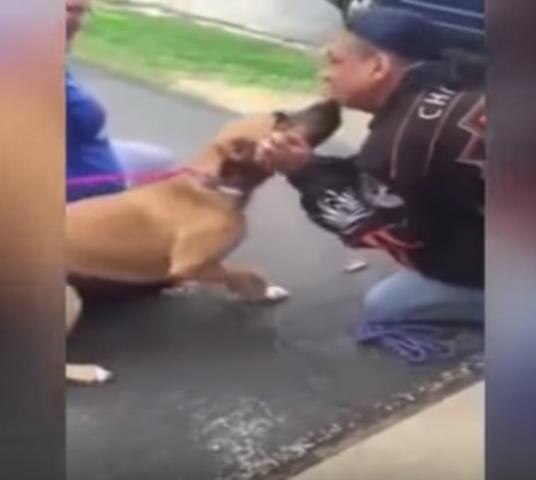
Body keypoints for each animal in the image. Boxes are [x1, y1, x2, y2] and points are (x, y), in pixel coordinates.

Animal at [63, 99, 340, 384]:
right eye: (281, 121)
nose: (333, 101)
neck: (213, 186)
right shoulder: (191, 263)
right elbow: (245, 272)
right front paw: (259, 290)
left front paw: (265, 291)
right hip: (69, 298)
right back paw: (88, 372)